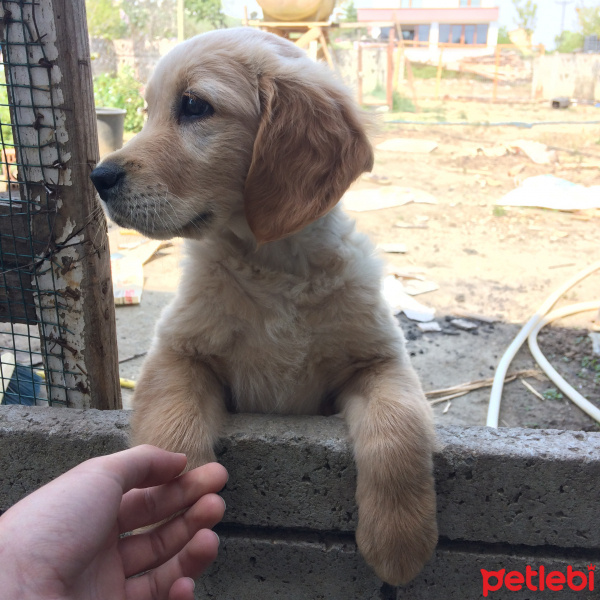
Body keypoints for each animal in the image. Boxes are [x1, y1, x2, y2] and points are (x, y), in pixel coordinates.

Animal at [90, 29, 436, 584]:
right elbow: (171, 432)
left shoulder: (379, 361)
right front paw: (169, 521)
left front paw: (400, 538)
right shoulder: (177, 353)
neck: (274, 269)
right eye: (148, 110)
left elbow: (398, 429)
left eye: (193, 106)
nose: (98, 176)